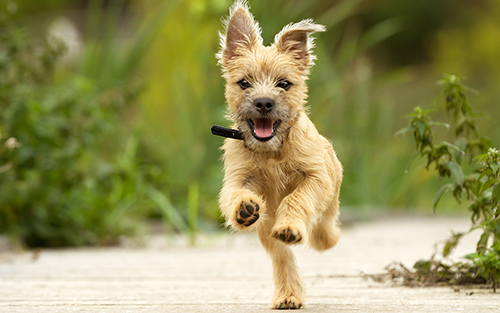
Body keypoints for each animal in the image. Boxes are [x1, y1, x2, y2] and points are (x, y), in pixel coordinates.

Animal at [215, 0, 344, 308]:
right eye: (244, 83)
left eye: (284, 84)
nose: (264, 102)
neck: (271, 151)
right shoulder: (238, 178)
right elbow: (234, 194)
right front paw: (244, 208)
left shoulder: (316, 177)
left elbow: (296, 199)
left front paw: (293, 225)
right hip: (266, 231)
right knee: (282, 257)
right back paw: (288, 294)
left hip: (331, 195)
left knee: (324, 227)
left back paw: (320, 236)